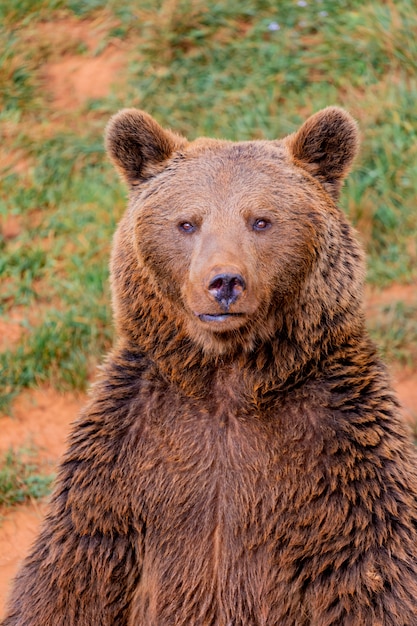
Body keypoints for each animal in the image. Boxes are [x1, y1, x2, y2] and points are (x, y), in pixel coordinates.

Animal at [2, 107, 416, 624]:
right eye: (187, 223)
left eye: (261, 220)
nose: (224, 282)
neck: (226, 380)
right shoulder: (124, 458)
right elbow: (70, 575)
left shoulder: (341, 454)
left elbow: (373, 571)